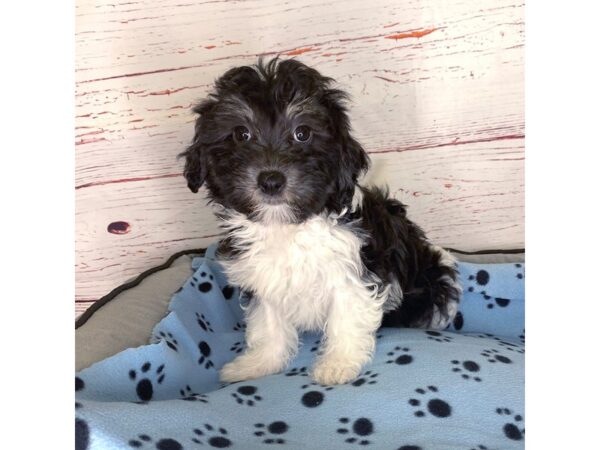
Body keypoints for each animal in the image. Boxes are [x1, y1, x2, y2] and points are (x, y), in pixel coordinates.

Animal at [180, 58, 462, 384]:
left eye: (303, 133)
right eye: (241, 134)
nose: (271, 180)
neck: (287, 227)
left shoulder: (353, 271)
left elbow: (346, 317)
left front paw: (338, 364)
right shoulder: (262, 279)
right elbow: (267, 323)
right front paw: (259, 364)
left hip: (432, 284)